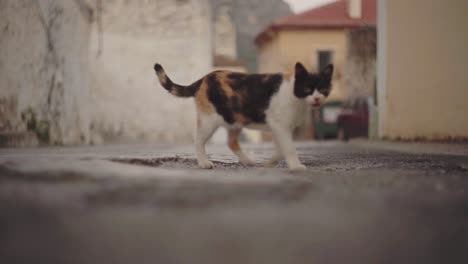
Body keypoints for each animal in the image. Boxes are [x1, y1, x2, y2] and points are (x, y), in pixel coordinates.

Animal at [154, 62, 332, 172]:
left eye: (323, 89)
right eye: (308, 88)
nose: (317, 98)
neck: (295, 98)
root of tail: (204, 78)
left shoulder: (279, 128)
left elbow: (281, 148)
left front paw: (272, 162)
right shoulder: (280, 126)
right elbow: (288, 147)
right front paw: (296, 166)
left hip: (235, 120)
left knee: (231, 142)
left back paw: (248, 160)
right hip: (209, 120)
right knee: (198, 140)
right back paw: (204, 163)